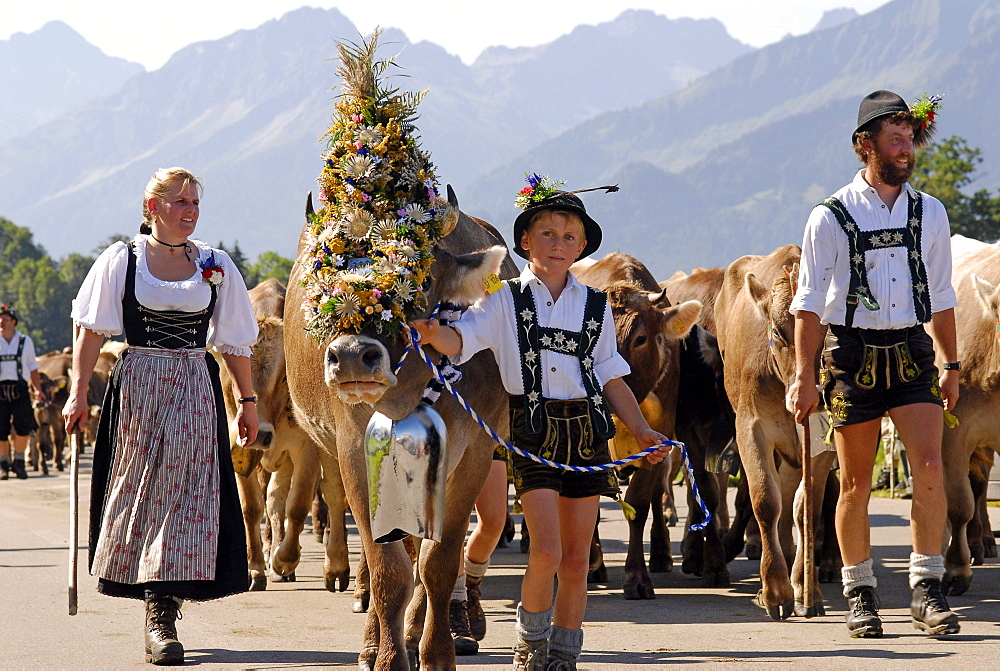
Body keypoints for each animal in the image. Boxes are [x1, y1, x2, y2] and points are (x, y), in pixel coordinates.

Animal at [284, 190, 512, 671]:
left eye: (419, 284)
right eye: (330, 281)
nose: (353, 356)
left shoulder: (475, 454)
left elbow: (438, 562)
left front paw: (438, 652)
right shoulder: (354, 452)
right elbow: (387, 566)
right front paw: (387, 656)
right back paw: (375, 633)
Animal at [572, 252, 704, 600]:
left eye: (640, 339)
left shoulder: (660, 438)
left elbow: (640, 502)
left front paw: (636, 576)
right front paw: (591, 562)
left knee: (659, 493)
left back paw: (660, 553)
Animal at [716, 245, 840, 620]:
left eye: (828, 331)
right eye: (778, 334)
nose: (809, 391)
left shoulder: (821, 443)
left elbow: (805, 508)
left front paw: (805, 588)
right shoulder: (751, 427)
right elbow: (766, 501)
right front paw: (774, 589)